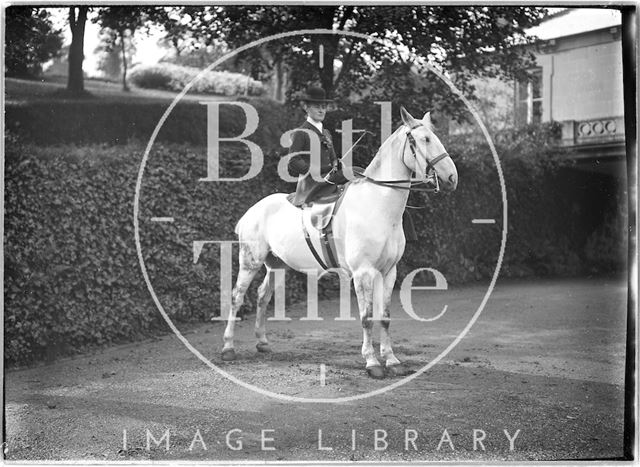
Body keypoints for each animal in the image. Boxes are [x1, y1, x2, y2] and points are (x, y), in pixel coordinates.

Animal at [222, 107, 458, 380]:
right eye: (424, 140)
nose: (452, 177)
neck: (378, 206)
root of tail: (254, 209)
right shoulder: (363, 273)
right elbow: (366, 317)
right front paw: (372, 362)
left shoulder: (389, 272)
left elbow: (385, 316)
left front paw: (391, 360)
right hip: (250, 261)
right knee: (237, 297)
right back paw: (228, 348)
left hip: (276, 264)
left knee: (263, 296)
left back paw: (262, 342)